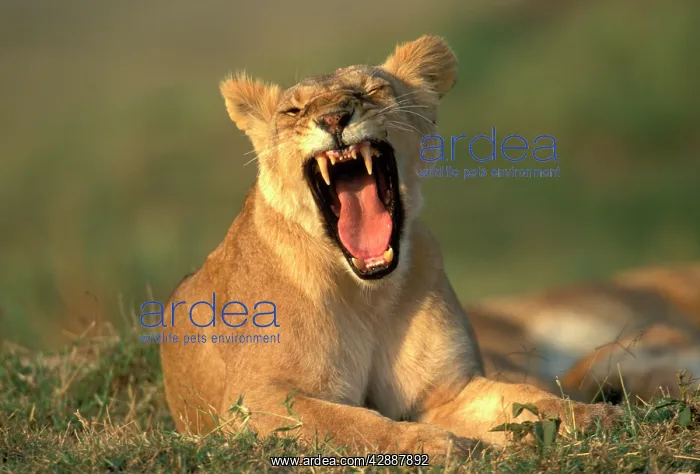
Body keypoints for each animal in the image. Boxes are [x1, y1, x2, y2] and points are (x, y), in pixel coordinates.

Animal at [159, 35, 619, 459]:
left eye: (371, 90)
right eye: (293, 111)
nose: (334, 118)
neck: (368, 294)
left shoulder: (447, 393)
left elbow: (527, 400)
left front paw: (592, 417)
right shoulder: (252, 401)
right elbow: (345, 422)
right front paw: (429, 444)